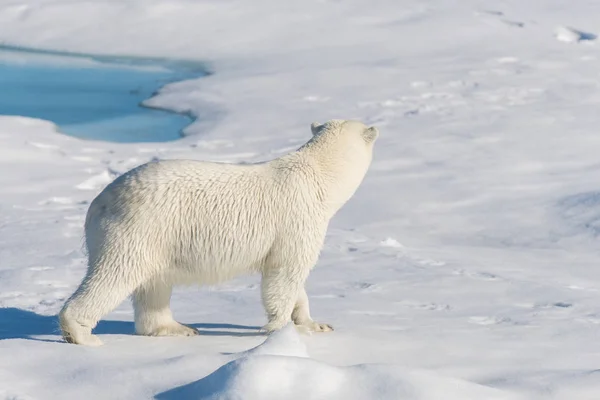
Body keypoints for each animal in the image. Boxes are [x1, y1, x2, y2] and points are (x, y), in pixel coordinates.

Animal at [61, 118, 380, 344]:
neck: (320, 176)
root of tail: (98, 202)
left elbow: (293, 281)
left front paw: (317, 323)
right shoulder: (298, 218)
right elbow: (285, 275)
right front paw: (288, 330)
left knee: (154, 284)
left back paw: (177, 328)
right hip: (138, 227)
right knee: (116, 274)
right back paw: (81, 334)